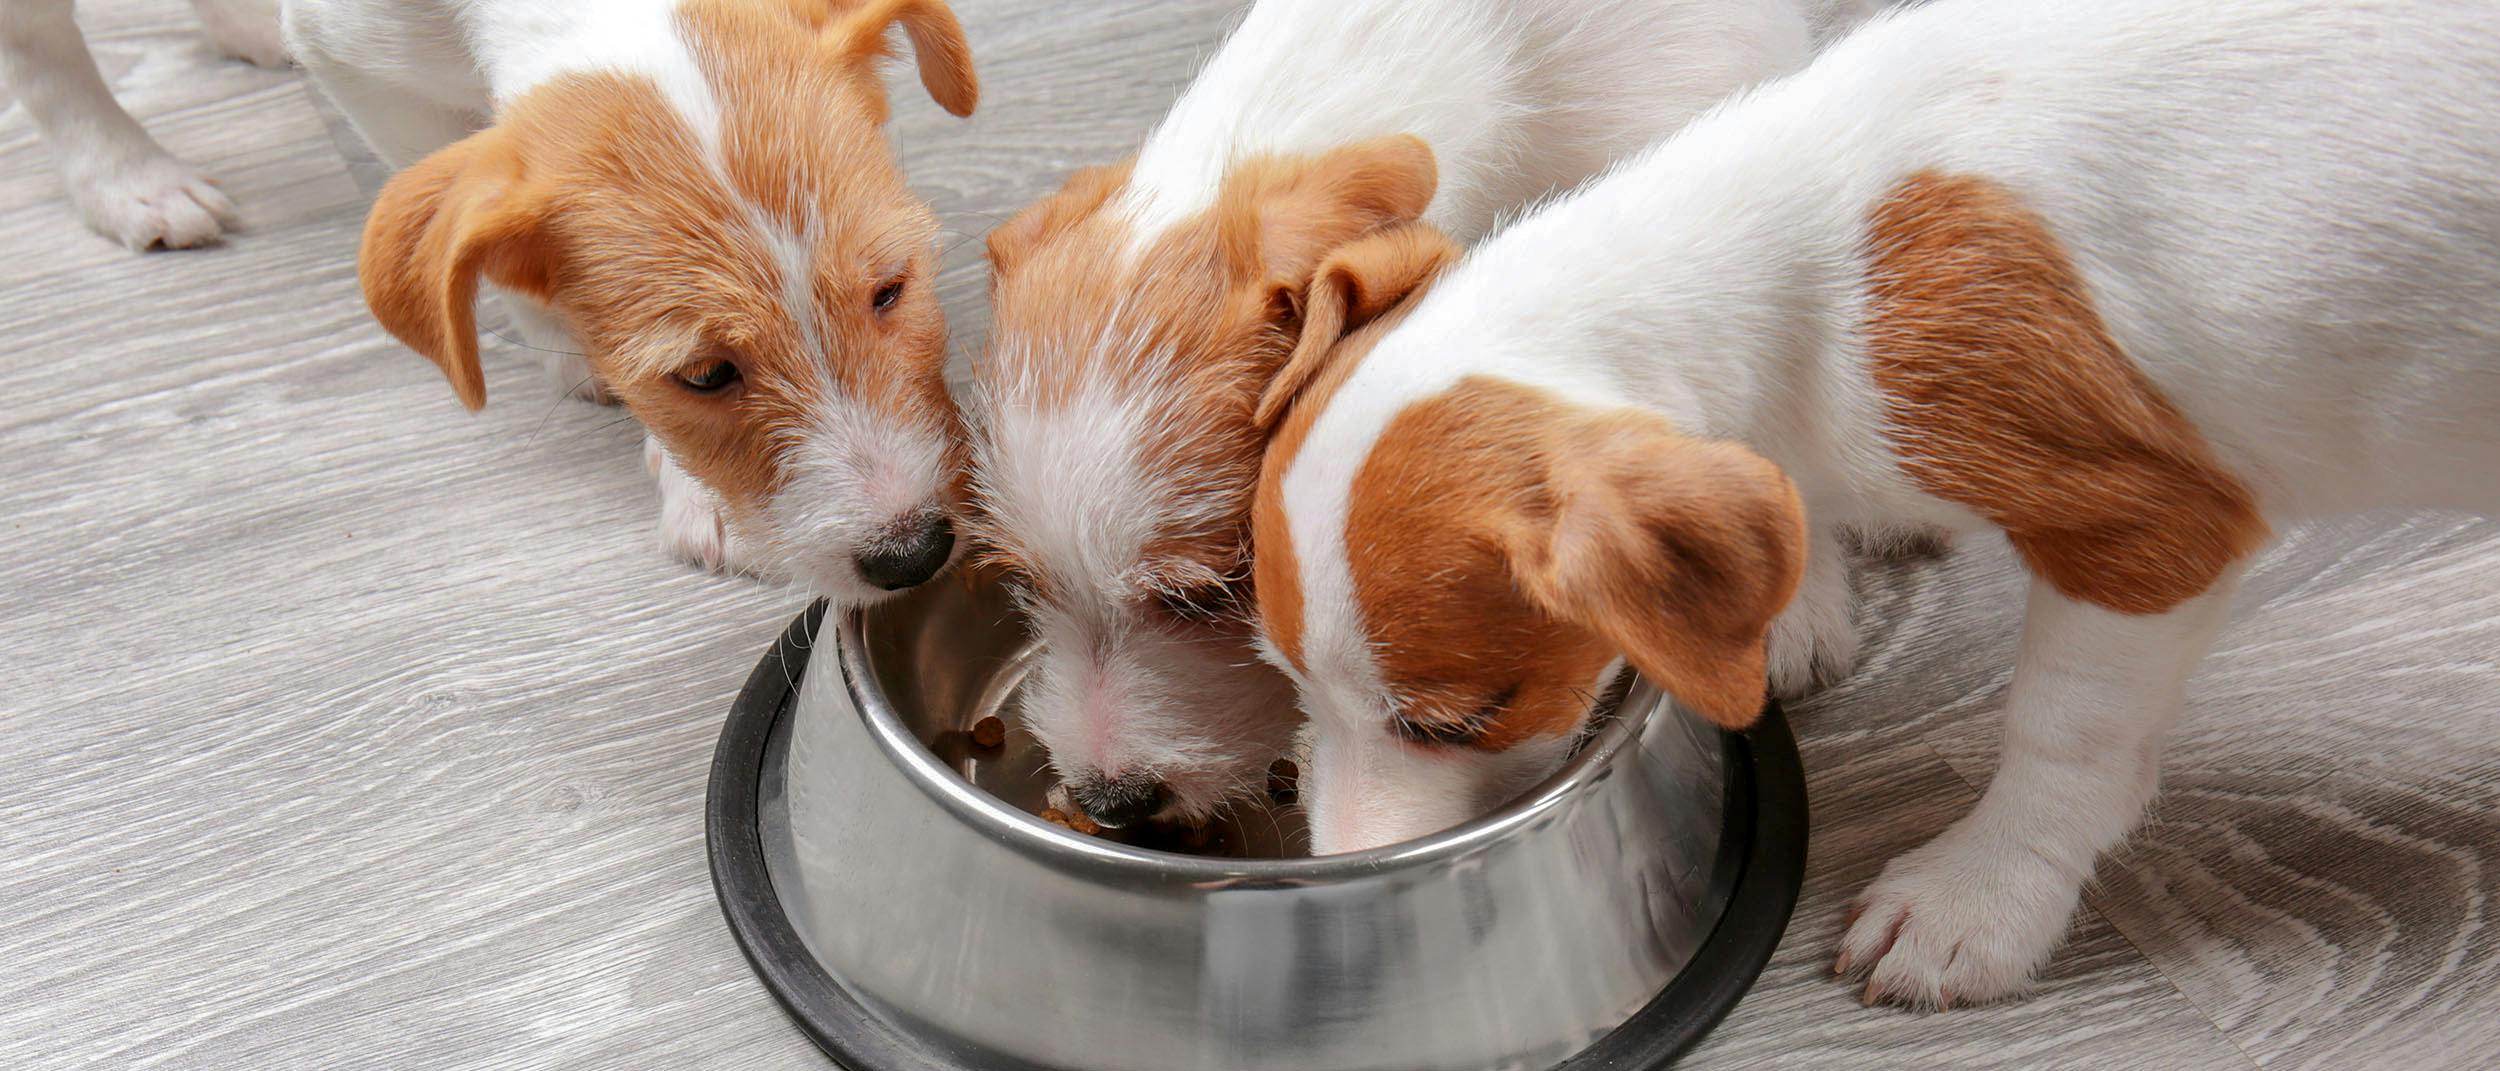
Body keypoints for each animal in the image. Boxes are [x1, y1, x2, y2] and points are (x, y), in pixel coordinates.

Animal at [1250, 0, 2500, 1010]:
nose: (1341, 892)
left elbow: (2066, 734)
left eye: (1454, 725)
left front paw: (1980, 899)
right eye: (1285, 681)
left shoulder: (2147, 531)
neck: (1807, 268)